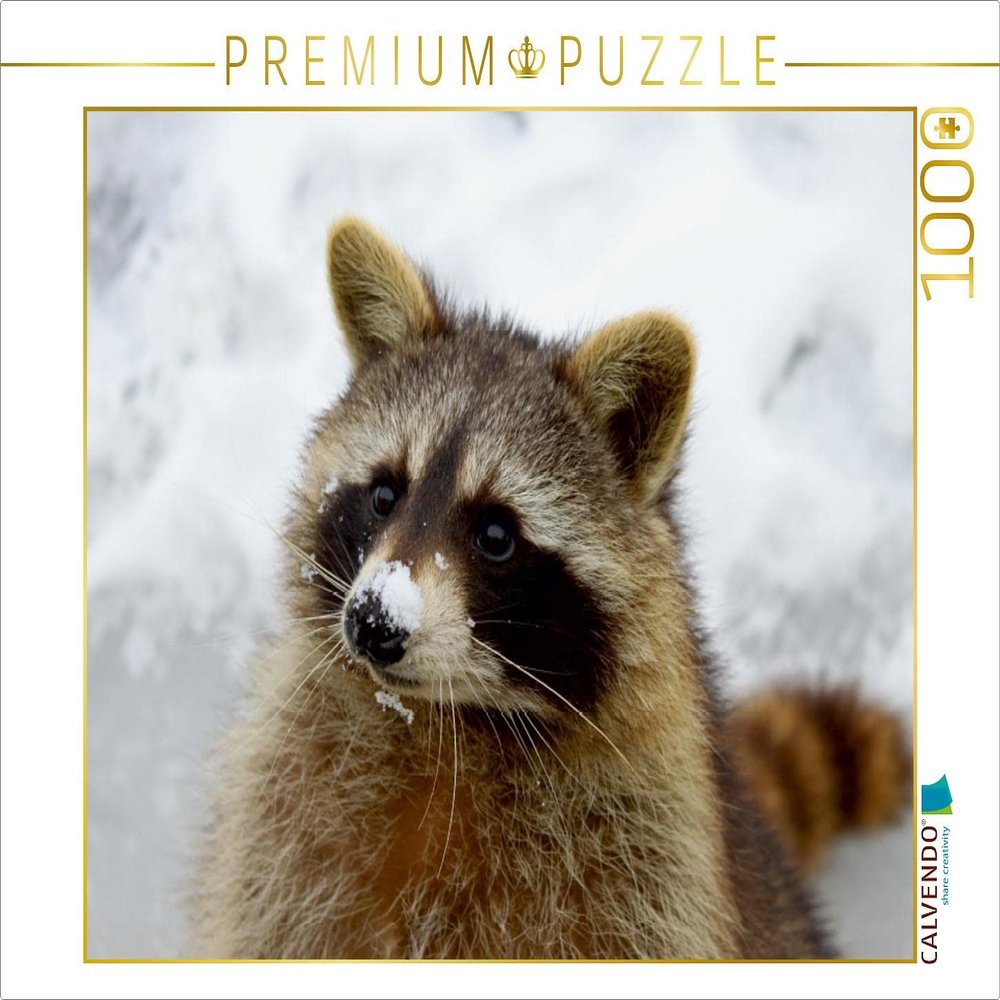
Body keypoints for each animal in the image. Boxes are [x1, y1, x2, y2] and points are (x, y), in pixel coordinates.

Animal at [193, 217, 910, 959]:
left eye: (496, 534)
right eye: (383, 495)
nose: (374, 621)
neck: (451, 723)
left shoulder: (644, 876)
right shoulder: (284, 844)